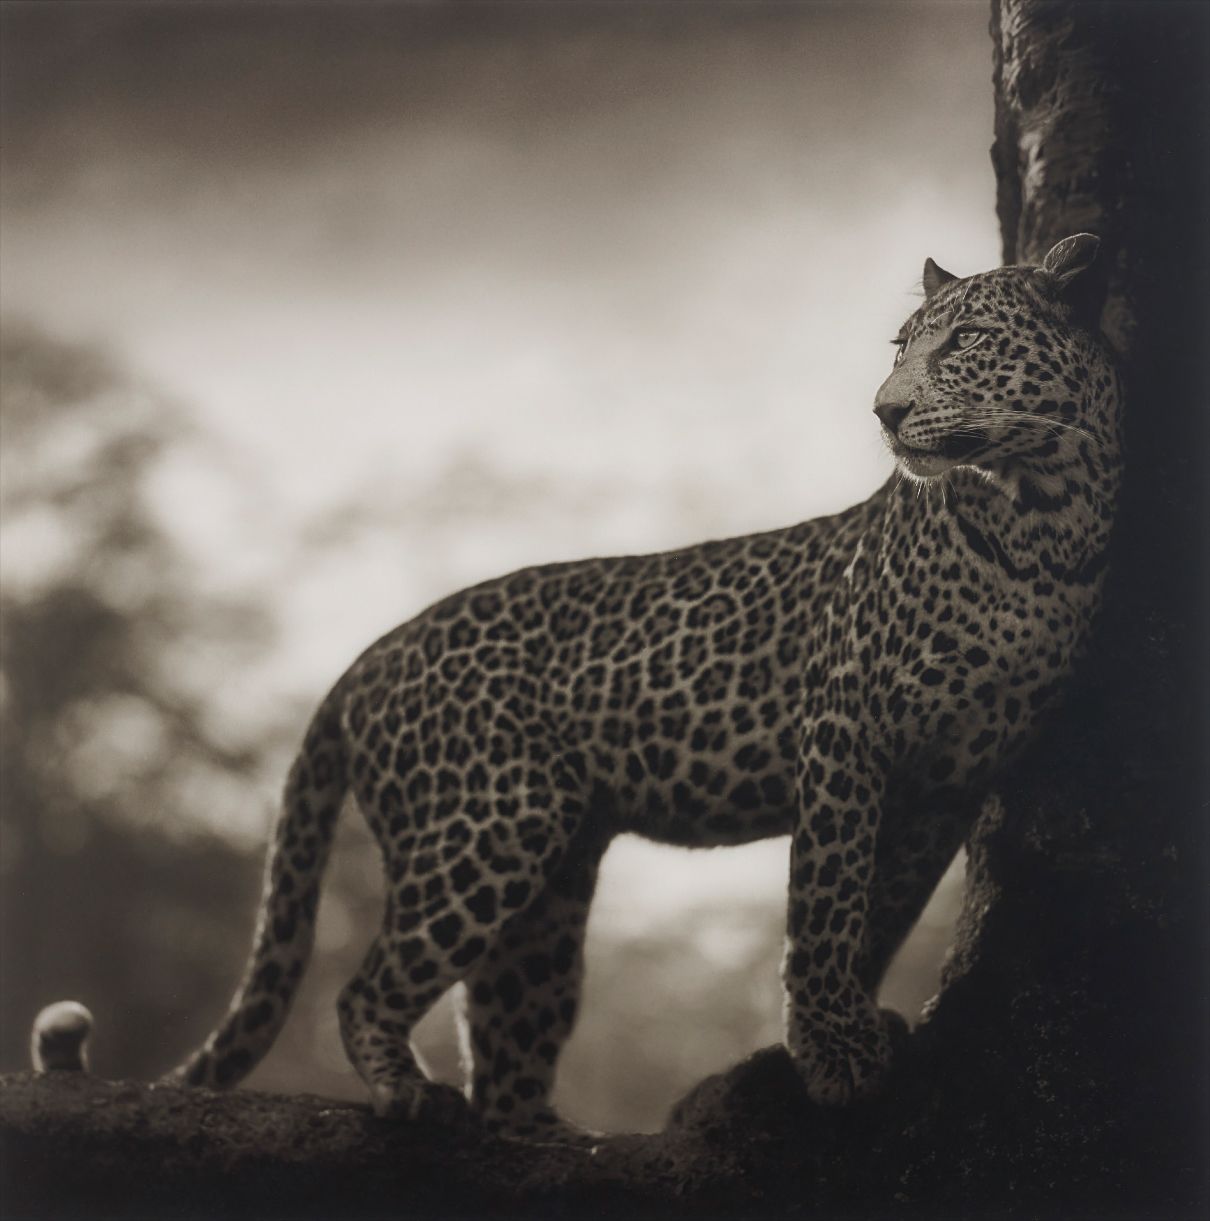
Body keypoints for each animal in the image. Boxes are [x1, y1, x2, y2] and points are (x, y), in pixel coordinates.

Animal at [161, 234, 1121, 1142]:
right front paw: (830, 1049)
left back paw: (545, 1133)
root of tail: (369, 654)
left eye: (969, 339)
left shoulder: (949, 780)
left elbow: (882, 906)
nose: (885, 410)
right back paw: (407, 1091)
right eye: (902, 345)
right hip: (490, 822)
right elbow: (826, 897)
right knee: (367, 986)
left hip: (549, 887)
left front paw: (856, 1017)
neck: (1043, 522)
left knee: (506, 1037)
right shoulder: (845, 729)